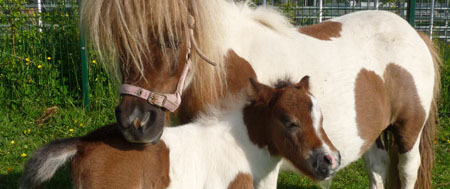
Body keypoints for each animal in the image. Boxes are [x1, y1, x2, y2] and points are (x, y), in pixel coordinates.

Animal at [81, 0, 440, 188]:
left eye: (171, 39)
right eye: (119, 45)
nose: (134, 124)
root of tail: (413, 31)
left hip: (408, 131)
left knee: (407, 168)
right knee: (377, 167)